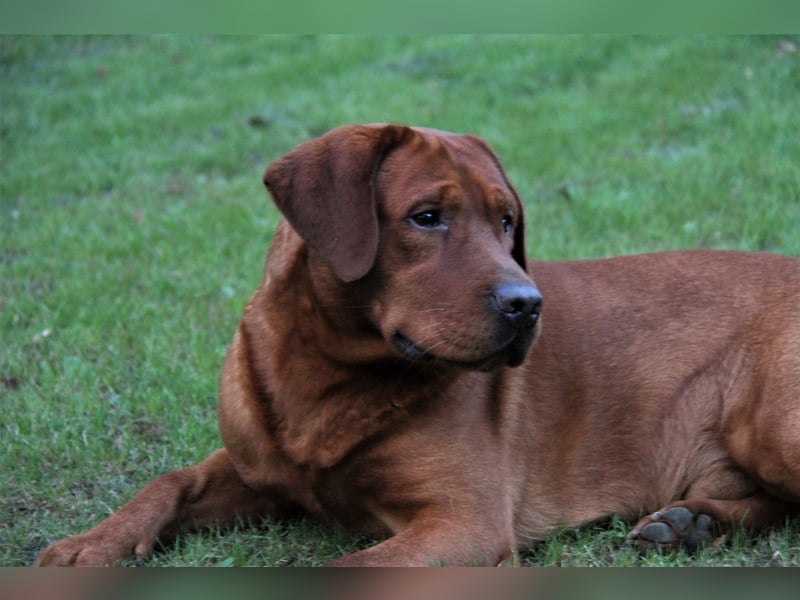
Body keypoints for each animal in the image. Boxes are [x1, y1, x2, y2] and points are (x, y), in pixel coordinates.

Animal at [37, 124, 800, 564]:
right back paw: (692, 522)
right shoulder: (253, 467)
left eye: (506, 221)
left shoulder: (464, 524)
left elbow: (345, 570)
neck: (327, 376)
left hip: (771, 427)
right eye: (426, 217)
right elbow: (168, 481)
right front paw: (89, 545)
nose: (528, 306)